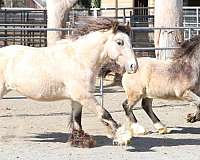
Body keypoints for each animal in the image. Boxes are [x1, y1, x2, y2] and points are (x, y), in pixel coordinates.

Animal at [0, 17, 138, 148]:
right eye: (119, 42)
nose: (134, 66)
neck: (80, 60)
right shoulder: (83, 95)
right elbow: (105, 114)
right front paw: (122, 137)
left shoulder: (77, 98)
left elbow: (77, 119)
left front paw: (80, 141)